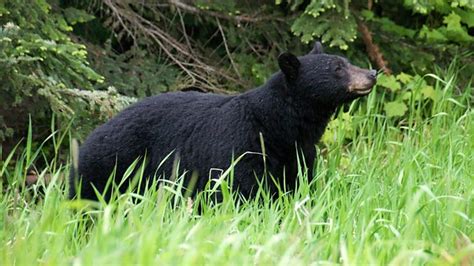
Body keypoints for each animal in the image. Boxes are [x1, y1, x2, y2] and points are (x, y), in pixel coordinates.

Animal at [68, 41, 376, 200]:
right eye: (337, 68)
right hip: (111, 166)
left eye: (346, 61)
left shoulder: (298, 153)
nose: (372, 73)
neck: (277, 126)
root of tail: (89, 137)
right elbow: (242, 188)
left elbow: (296, 185)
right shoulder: (240, 144)